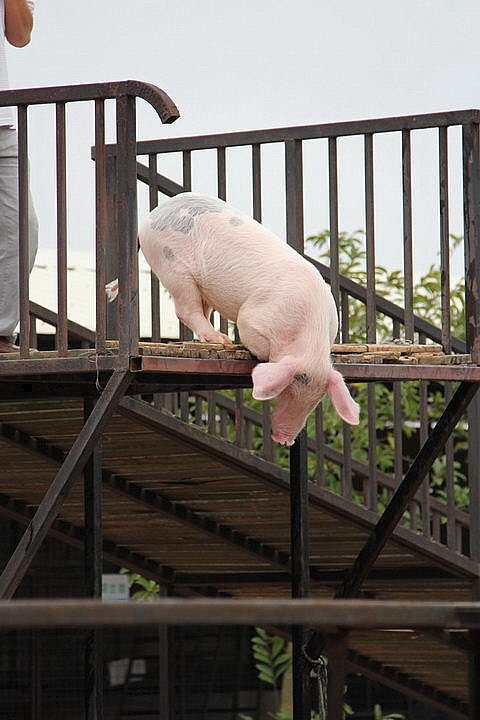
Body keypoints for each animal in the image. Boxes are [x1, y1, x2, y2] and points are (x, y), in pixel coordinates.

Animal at [108, 192, 360, 445]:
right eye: (285, 390)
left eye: (316, 401)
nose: (284, 440)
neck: (308, 331)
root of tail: (149, 219)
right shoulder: (252, 318)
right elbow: (249, 331)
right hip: (170, 264)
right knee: (185, 309)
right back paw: (221, 340)